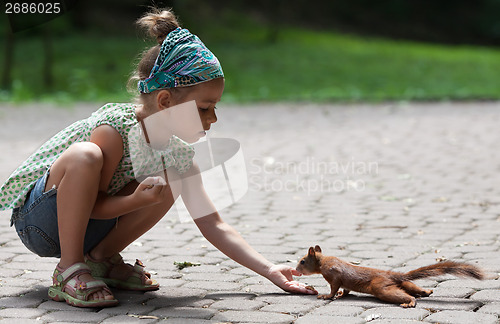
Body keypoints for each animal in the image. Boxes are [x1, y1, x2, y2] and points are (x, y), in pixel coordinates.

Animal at [296, 244, 484, 308]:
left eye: (303, 261)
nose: (296, 269)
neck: (323, 262)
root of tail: (394, 276)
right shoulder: (344, 282)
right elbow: (345, 289)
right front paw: (343, 294)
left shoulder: (334, 275)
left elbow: (334, 288)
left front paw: (327, 296)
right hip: (402, 285)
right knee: (412, 288)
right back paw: (426, 292)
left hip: (381, 288)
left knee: (405, 295)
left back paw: (410, 302)